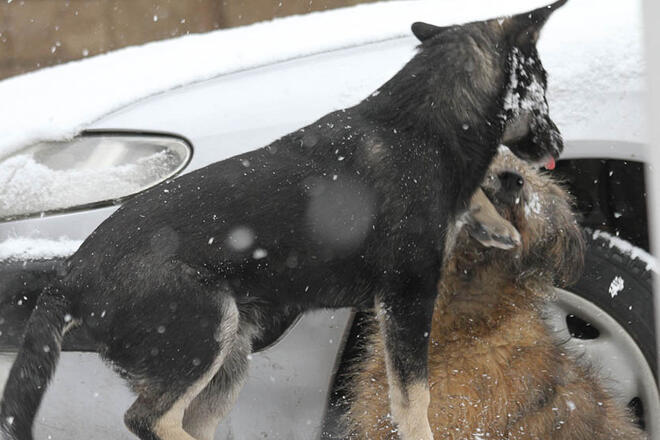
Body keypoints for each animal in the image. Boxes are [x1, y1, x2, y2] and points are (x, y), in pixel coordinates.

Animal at [2, 1, 564, 438]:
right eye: (544, 82)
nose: (559, 146)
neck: (421, 125)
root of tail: (69, 277)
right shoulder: (407, 299)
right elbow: (414, 402)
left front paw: (494, 222)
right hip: (204, 335)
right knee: (147, 420)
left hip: (229, 359)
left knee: (183, 422)